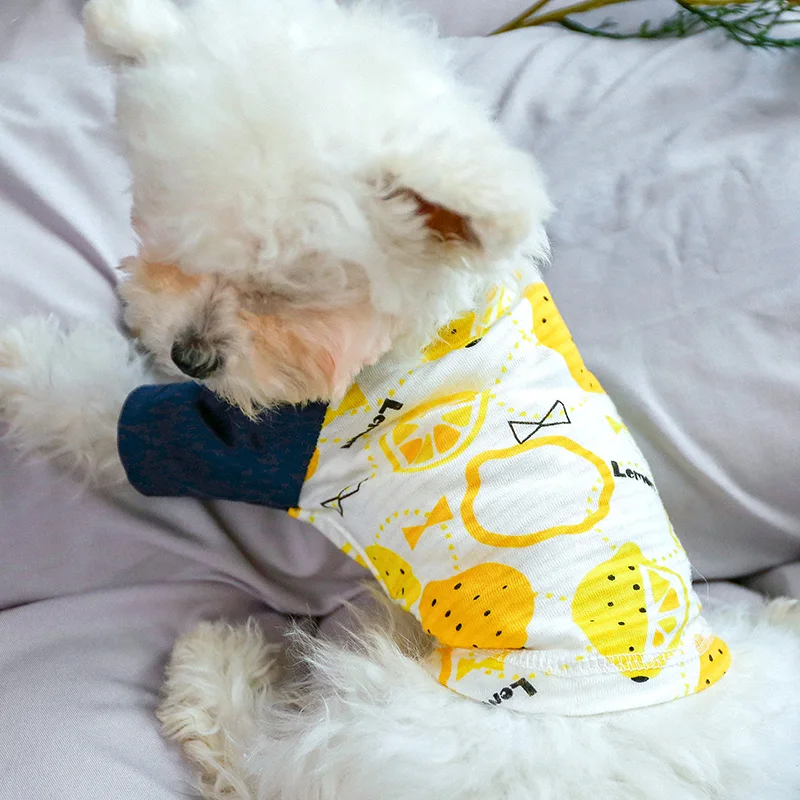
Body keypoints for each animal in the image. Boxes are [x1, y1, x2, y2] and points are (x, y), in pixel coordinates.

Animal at [1, 0, 799, 797]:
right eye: (171, 245)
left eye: (285, 292)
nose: (190, 355)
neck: (440, 316)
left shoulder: (268, 446)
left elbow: (111, 413)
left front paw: (20, 356)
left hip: (389, 729)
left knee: (265, 762)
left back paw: (213, 671)